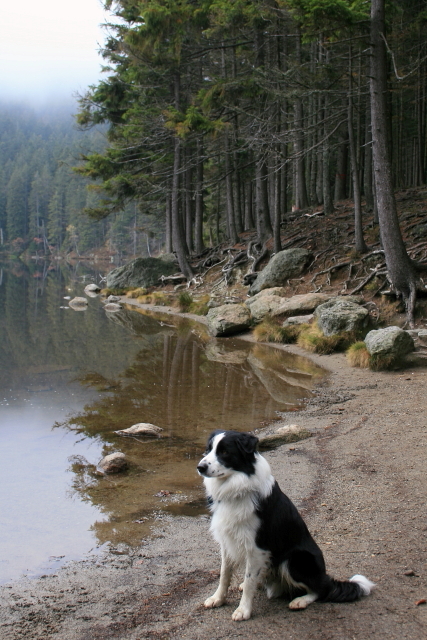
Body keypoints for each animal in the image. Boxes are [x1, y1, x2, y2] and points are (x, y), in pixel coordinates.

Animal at [197, 430, 374, 620]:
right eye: (208, 449)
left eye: (224, 452)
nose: (200, 467)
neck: (236, 485)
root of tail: (324, 575)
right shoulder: (227, 539)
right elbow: (224, 574)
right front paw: (218, 598)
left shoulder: (257, 547)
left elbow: (250, 579)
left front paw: (243, 610)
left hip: (295, 560)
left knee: (322, 590)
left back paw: (300, 601)